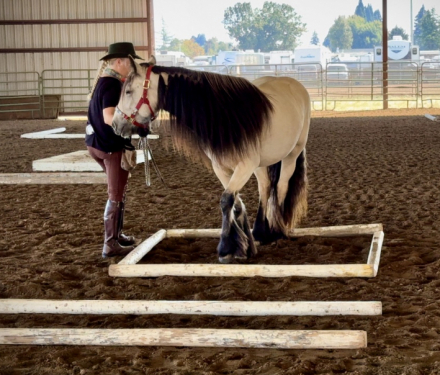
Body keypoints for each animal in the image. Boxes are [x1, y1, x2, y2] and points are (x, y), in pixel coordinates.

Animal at [111, 57, 312, 264]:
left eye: (128, 91)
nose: (115, 125)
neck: (226, 117)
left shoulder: (244, 167)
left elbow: (226, 200)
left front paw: (226, 248)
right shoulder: (221, 168)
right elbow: (236, 203)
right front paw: (244, 246)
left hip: (291, 154)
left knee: (281, 187)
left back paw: (278, 230)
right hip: (261, 164)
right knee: (264, 187)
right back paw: (261, 232)